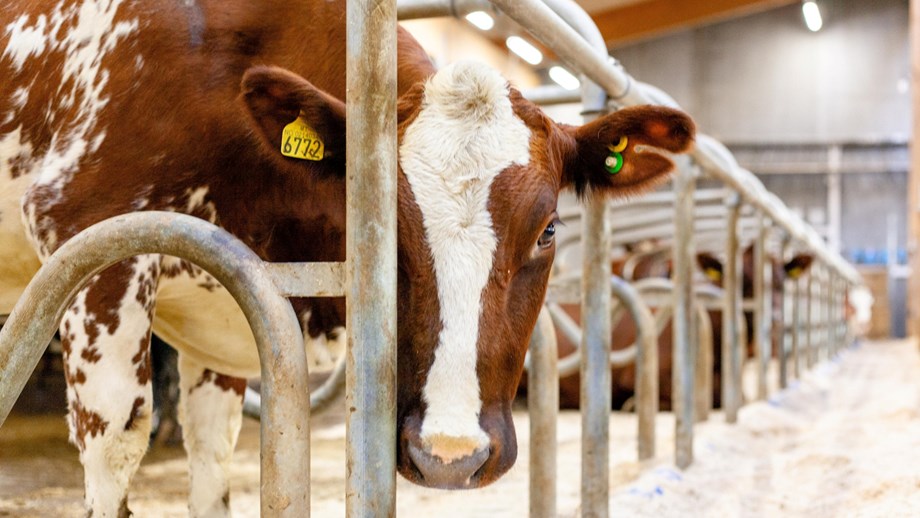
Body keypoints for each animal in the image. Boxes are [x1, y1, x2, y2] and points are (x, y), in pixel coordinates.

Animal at [0, 0, 688, 516]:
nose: (452, 455)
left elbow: (212, 447)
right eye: (379, 225)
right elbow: (115, 439)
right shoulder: (90, 235)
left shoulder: (222, 297)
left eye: (548, 231)